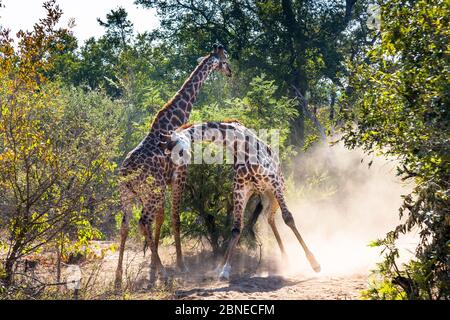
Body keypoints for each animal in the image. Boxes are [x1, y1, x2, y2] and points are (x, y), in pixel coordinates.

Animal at [115, 43, 232, 288]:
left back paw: (118, 279)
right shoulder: (180, 175)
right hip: (150, 192)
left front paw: (152, 272)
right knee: (142, 222)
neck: (173, 121)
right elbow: (175, 219)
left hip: (128, 195)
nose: (230, 72)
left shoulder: (166, 182)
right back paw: (167, 276)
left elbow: (160, 220)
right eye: (225, 61)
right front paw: (179, 265)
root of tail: (127, 175)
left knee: (126, 226)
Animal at [162, 120, 320, 280]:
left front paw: (314, 263)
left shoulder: (274, 182)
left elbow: (288, 218)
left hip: (276, 191)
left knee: (271, 216)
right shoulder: (240, 189)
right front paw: (225, 269)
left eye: (179, 151)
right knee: (266, 217)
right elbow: (236, 228)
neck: (240, 145)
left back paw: (288, 259)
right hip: (261, 195)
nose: (174, 175)